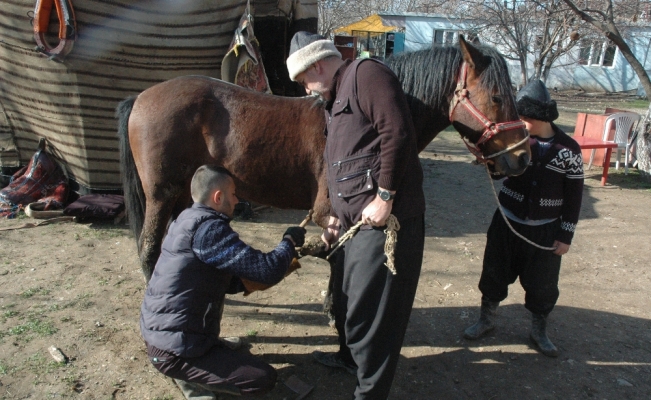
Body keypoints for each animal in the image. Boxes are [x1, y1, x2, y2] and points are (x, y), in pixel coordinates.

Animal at [118, 37, 528, 282]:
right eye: (495, 96)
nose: (522, 157)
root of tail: (141, 97)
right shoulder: (328, 212)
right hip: (161, 195)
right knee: (149, 249)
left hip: (181, 196)